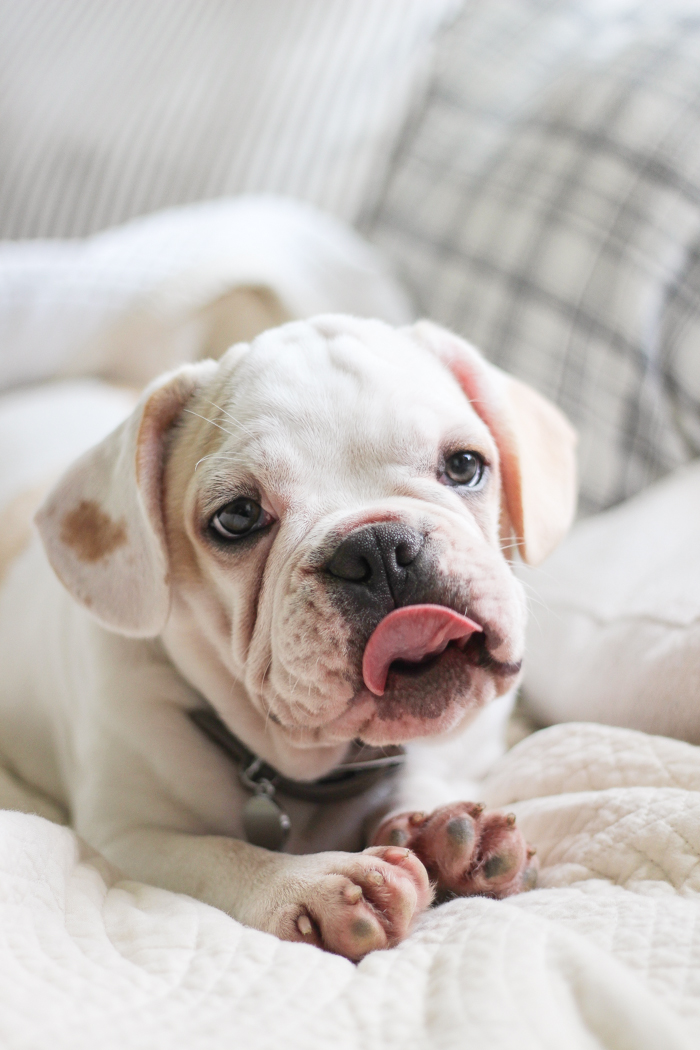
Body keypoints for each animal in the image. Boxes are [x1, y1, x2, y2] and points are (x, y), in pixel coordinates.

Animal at [0, 312, 575, 961]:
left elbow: (426, 768)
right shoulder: (127, 834)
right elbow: (215, 854)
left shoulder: (463, 747)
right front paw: (312, 884)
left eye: (464, 465)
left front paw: (447, 832)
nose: (380, 547)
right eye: (237, 517)